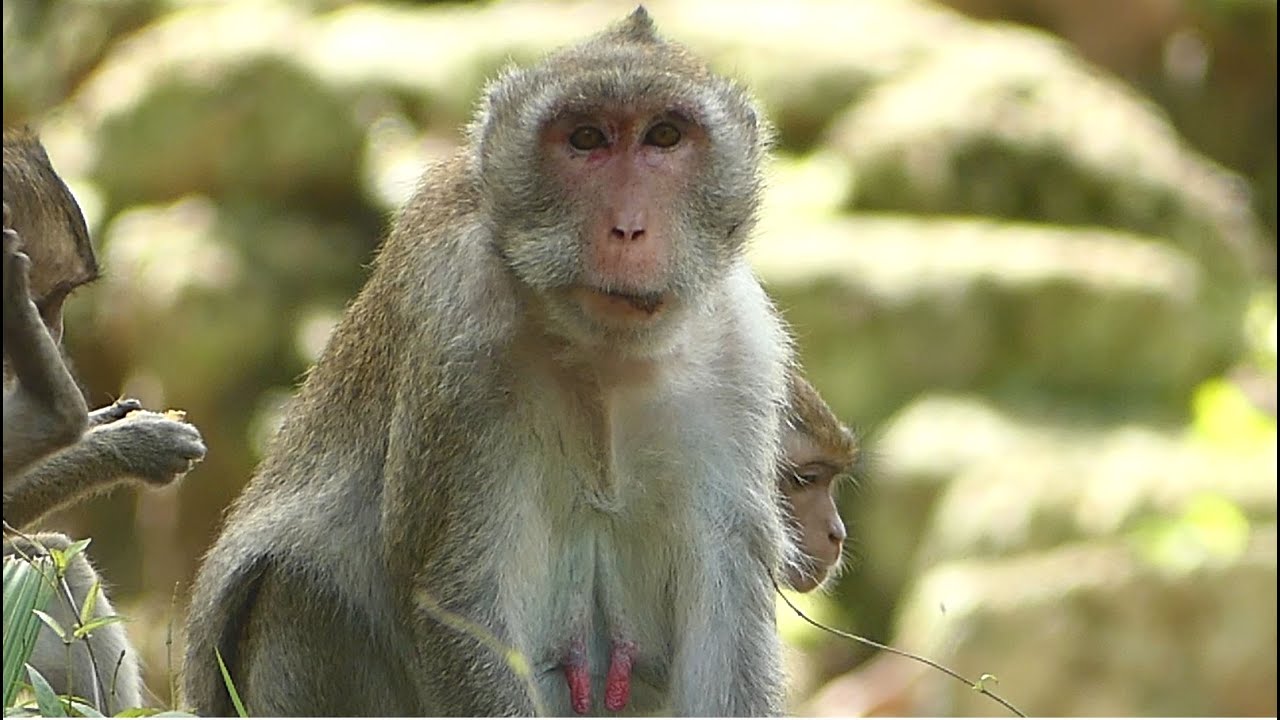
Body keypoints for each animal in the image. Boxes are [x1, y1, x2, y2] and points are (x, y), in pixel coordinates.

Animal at [183, 8, 791, 716]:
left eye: (665, 136)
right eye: (586, 138)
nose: (628, 227)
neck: (603, 359)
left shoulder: (742, 356)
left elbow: (727, 613)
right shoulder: (458, 337)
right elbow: (460, 600)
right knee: (298, 593)